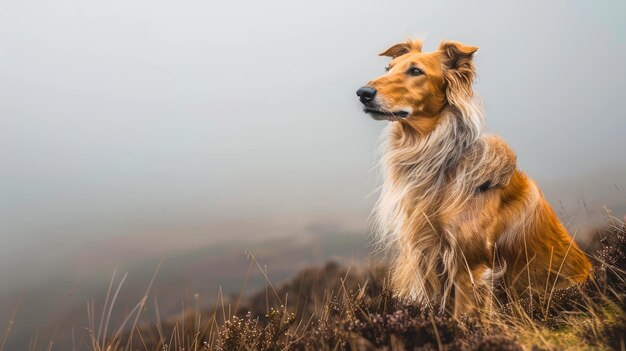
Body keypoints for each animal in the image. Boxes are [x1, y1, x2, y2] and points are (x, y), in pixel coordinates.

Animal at [356, 40, 588, 318]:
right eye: (388, 69)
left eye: (415, 71)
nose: (363, 92)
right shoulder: (426, 257)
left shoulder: (470, 267)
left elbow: (463, 318)